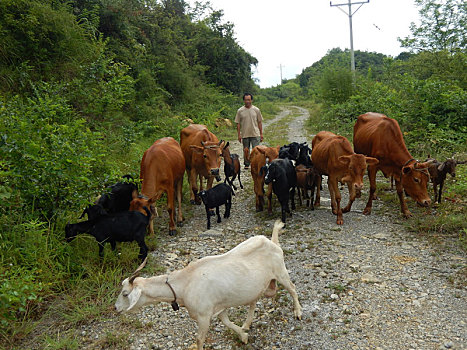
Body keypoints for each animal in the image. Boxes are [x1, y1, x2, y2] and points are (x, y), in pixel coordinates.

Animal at [115, 220, 302, 348]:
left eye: (125, 293)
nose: (116, 308)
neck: (186, 283)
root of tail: (272, 241)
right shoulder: (219, 307)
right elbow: (226, 322)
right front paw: (243, 336)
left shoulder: (204, 316)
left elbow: (199, 339)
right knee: (256, 299)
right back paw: (247, 324)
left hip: (281, 271)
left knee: (292, 289)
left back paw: (298, 312)